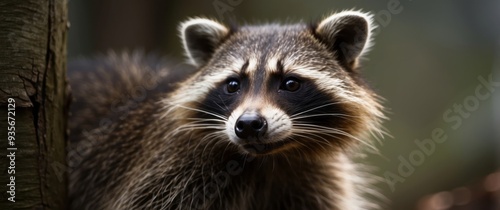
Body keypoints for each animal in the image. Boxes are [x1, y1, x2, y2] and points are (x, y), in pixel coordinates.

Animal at [68, 10, 384, 210]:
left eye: (291, 83)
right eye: (233, 84)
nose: (249, 124)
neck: (266, 160)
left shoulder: (316, 180)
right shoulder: (169, 173)